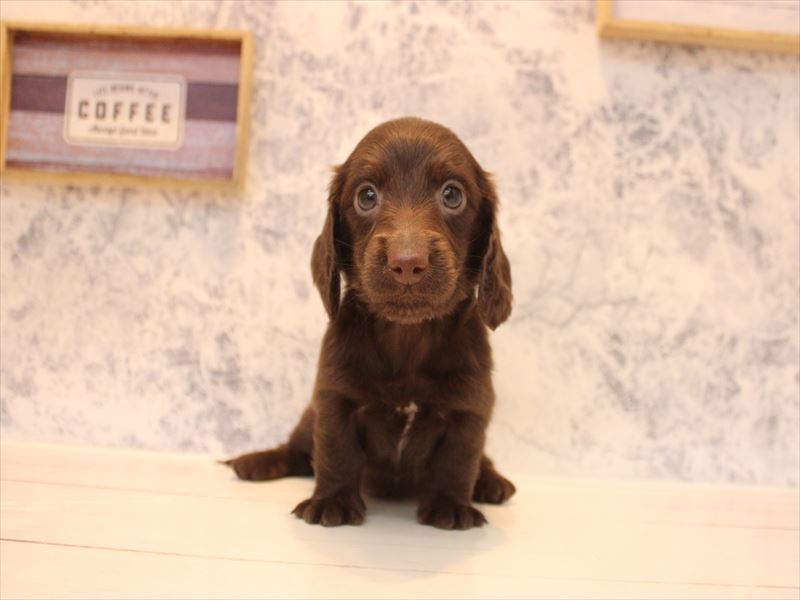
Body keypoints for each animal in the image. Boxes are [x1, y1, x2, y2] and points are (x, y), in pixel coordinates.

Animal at [225, 117, 515, 530]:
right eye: (366, 196)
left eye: (452, 195)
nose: (407, 262)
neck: (407, 335)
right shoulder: (334, 396)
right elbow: (335, 450)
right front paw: (332, 501)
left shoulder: (470, 407)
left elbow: (459, 459)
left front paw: (451, 505)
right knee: (298, 449)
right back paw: (256, 461)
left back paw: (491, 481)